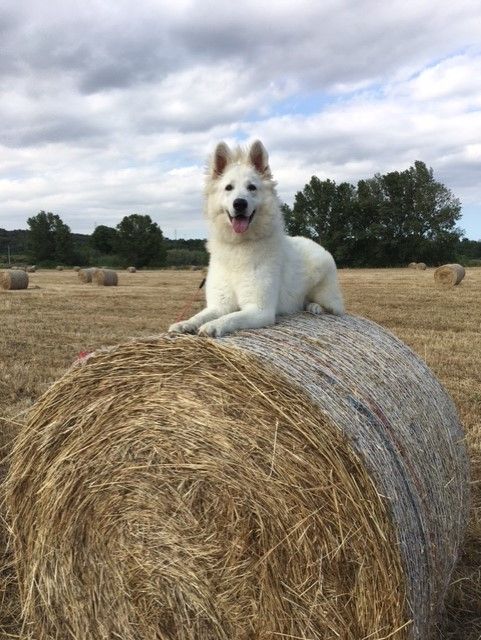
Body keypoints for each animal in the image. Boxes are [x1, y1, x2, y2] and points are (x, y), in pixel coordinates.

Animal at [167, 141, 344, 340]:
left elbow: (231, 318)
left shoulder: (260, 310)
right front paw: (185, 323)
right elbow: (200, 316)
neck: (238, 245)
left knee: (330, 306)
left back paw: (316, 307)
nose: (239, 204)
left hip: (326, 294)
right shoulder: (219, 305)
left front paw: (213, 325)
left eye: (252, 187)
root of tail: (317, 245)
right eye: (228, 188)